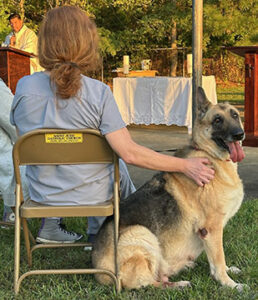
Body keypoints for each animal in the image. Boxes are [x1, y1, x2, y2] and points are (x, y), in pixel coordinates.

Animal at [91, 86, 245, 290]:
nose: (239, 134)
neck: (208, 153)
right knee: (147, 283)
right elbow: (218, 259)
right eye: (218, 120)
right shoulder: (211, 229)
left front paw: (228, 272)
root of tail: (98, 270)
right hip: (141, 233)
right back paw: (179, 284)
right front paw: (230, 284)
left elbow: (219, 260)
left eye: (235, 115)